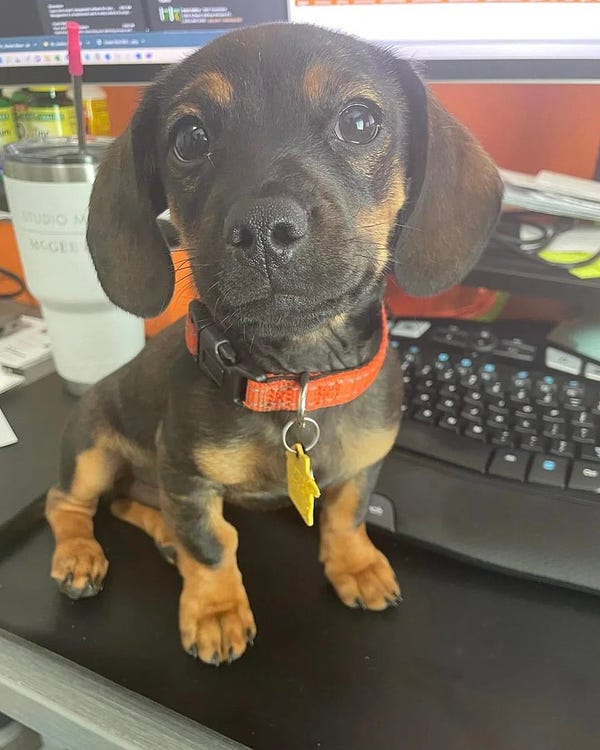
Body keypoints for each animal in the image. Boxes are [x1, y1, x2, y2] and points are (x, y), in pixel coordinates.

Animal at [47, 23, 502, 668]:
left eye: (360, 121)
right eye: (190, 138)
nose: (264, 228)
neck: (297, 375)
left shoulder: (365, 463)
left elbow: (346, 516)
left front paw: (355, 566)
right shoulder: (186, 473)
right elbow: (212, 545)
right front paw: (215, 611)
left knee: (129, 506)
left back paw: (162, 539)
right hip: (91, 450)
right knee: (67, 503)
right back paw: (80, 555)